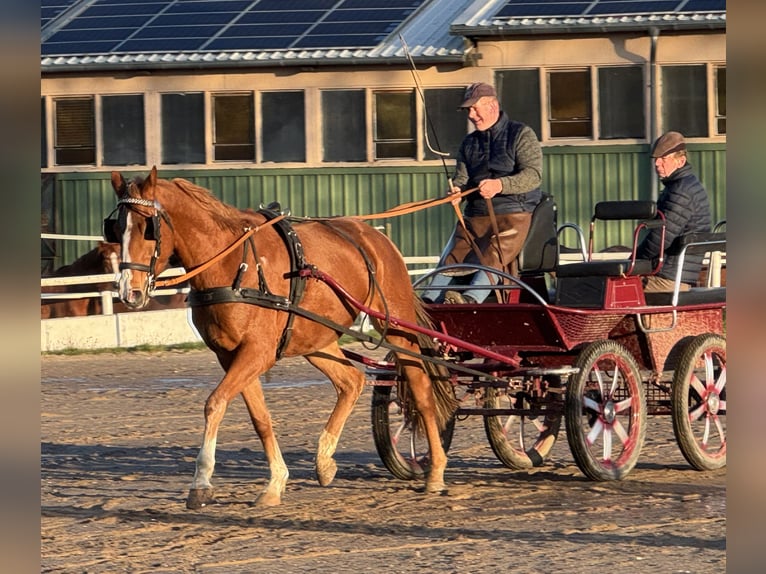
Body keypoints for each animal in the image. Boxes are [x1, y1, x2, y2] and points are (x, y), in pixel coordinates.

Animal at [108, 169, 456, 510]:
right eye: (116, 228)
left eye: (147, 227)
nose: (129, 292)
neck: (234, 265)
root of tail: (375, 237)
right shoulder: (231, 355)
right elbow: (260, 418)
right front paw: (275, 483)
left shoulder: (258, 352)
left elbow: (215, 403)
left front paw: (201, 483)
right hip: (316, 340)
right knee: (351, 382)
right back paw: (324, 461)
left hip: (396, 325)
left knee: (420, 389)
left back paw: (436, 472)